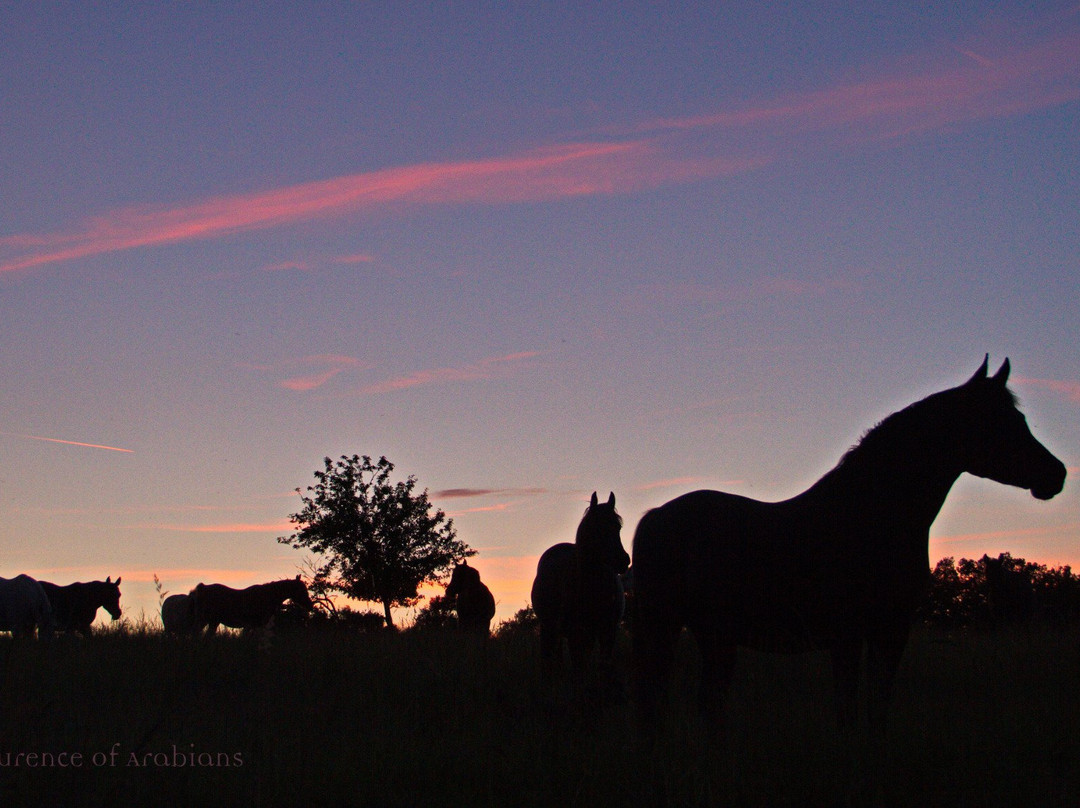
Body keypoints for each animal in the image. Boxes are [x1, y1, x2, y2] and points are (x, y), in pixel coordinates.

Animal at [529, 488, 630, 704]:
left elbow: (603, 667)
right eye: (596, 527)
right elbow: (578, 667)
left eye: (617, 526)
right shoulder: (576, 632)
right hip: (551, 628)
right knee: (552, 660)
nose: (623, 560)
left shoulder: (608, 631)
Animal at [630, 356, 1062, 730]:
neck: (871, 513)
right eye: (1002, 420)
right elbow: (849, 711)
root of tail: (656, 516)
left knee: (703, 704)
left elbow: (876, 711)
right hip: (664, 626)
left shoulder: (889, 633)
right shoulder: (852, 635)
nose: (1056, 474)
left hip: (713, 635)